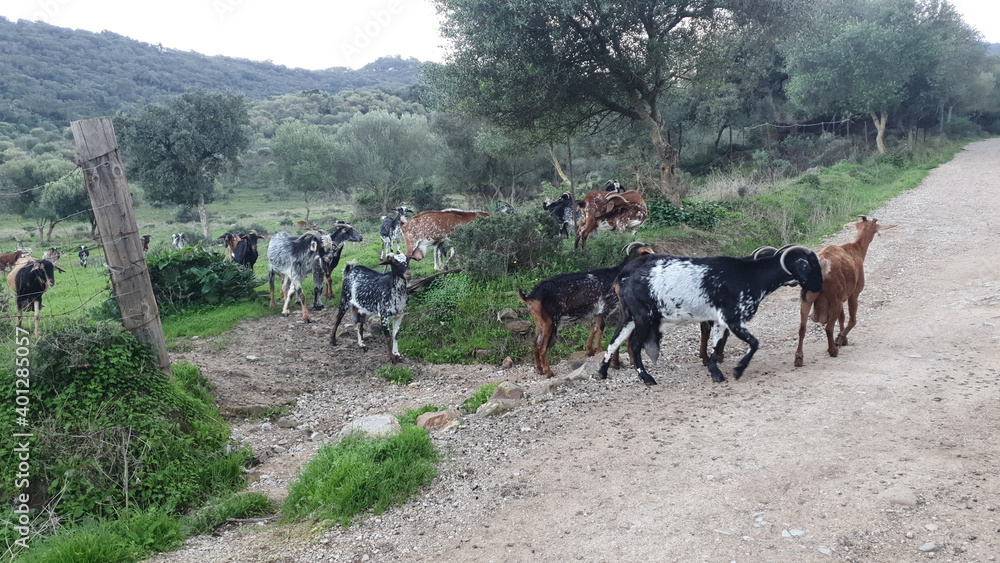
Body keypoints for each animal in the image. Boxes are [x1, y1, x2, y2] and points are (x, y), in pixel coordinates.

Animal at [518, 242, 655, 377]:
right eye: (647, 254)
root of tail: (531, 296)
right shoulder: (604, 308)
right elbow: (600, 330)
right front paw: (599, 351)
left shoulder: (595, 312)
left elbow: (593, 328)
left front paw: (589, 351)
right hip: (549, 322)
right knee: (542, 348)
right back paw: (549, 372)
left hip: (539, 322)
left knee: (535, 345)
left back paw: (539, 369)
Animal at [597, 245, 823, 385]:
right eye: (811, 265)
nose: (819, 286)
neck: (751, 275)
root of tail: (626, 275)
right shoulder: (733, 317)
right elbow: (754, 343)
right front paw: (738, 370)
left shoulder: (719, 319)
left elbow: (716, 343)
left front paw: (715, 371)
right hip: (644, 316)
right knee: (634, 344)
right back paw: (647, 378)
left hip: (629, 316)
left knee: (615, 339)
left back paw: (602, 371)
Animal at [795, 216, 896, 366]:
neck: (857, 249)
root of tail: (822, 266)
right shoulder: (854, 293)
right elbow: (852, 320)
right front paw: (840, 338)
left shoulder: (842, 296)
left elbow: (842, 317)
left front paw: (843, 339)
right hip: (834, 296)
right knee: (829, 327)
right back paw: (833, 350)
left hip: (809, 296)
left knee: (802, 328)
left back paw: (799, 358)